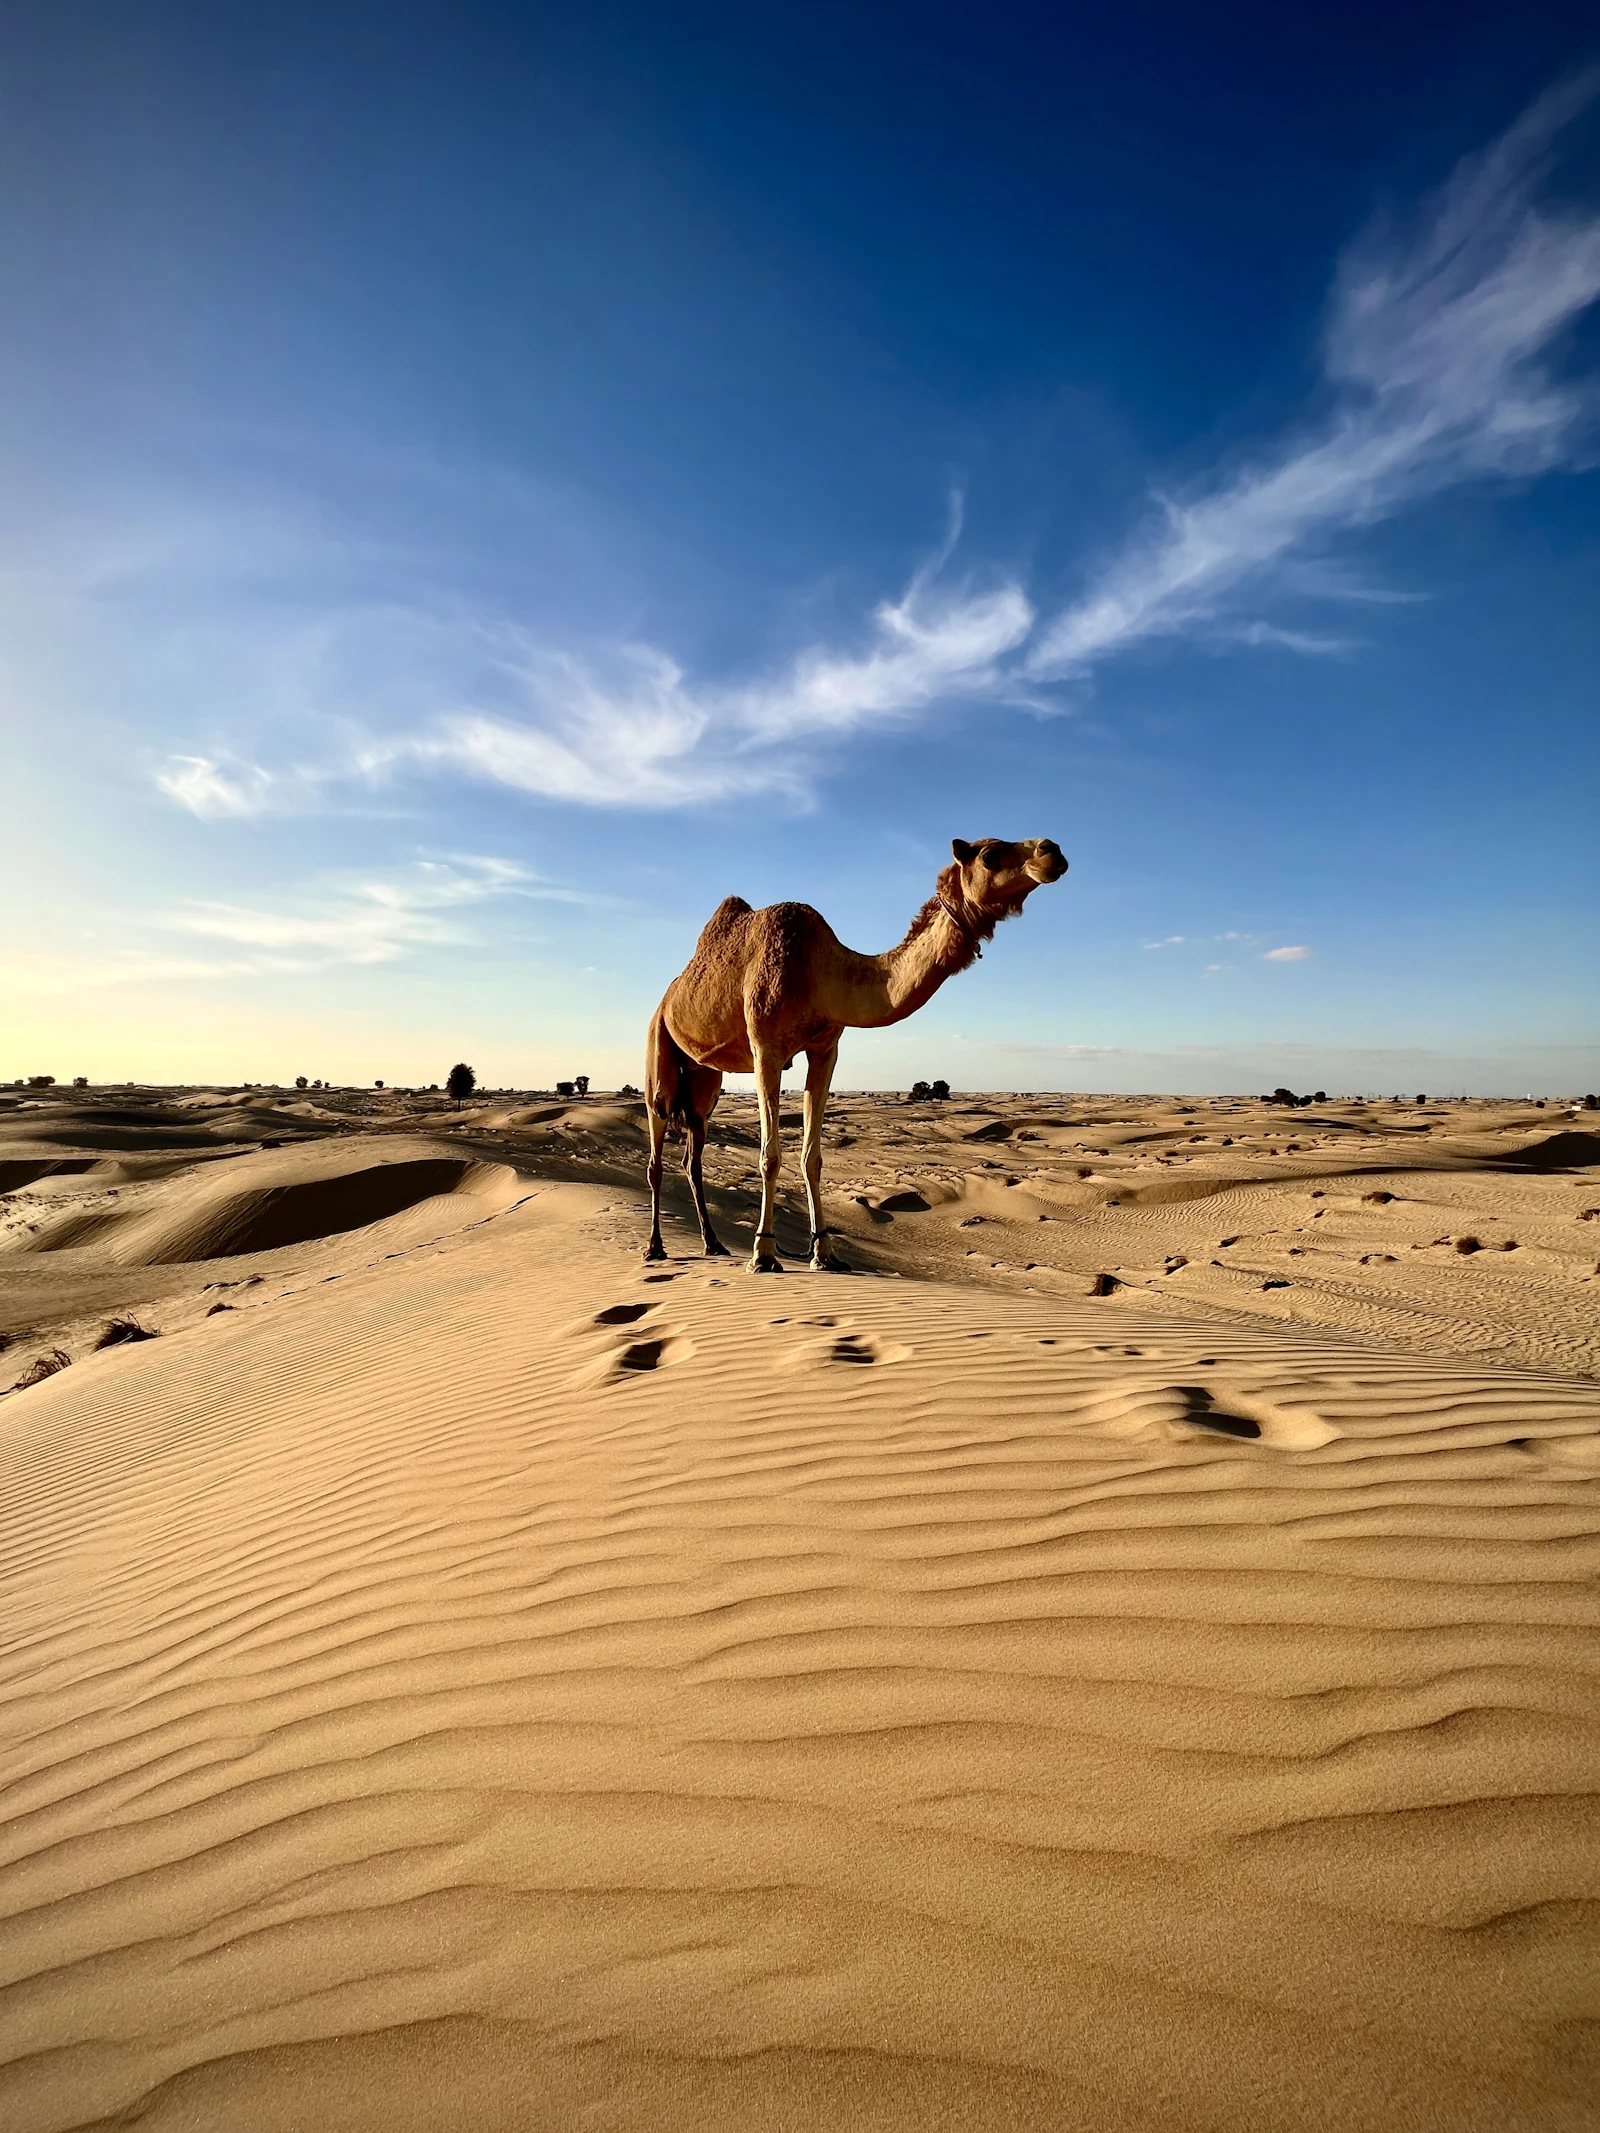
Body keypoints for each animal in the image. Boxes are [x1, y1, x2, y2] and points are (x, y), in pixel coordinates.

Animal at [644, 837, 1067, 1271]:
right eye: (990, 855)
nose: (1052, 851)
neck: (817, 970)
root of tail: (668, 996)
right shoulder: (766, 1048)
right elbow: (770, 1157)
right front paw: (763, 1253)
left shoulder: (825, 1050)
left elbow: (812, 1158)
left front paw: (824, 1253)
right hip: (659, 1042)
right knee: (657, 1139)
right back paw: (655, 1247)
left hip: (704, 1079)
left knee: (692, 1153)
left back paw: (714, 1244)